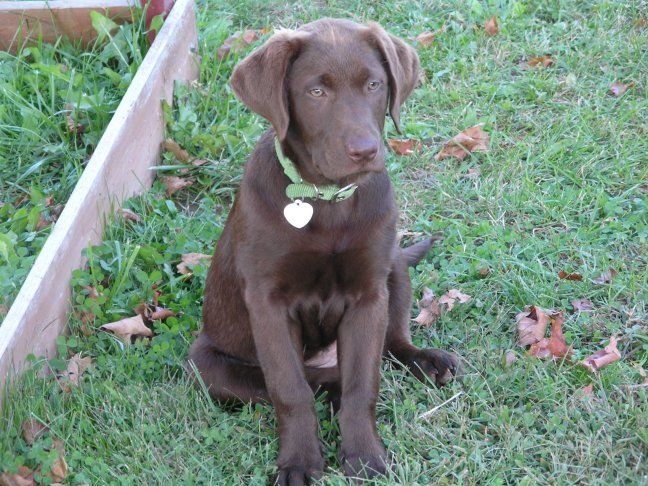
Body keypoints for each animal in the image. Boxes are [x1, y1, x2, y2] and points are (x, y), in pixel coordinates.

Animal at [190, 17, 464, 484]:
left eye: (374, 84)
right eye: (316, 92)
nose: (365, 151)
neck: (326, 198)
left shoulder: (369, 294)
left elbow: (362, 385)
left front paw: (365, 457)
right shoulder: (267, 302)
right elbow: (290, 389)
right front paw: (300, 462)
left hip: (393, 267)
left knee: (390, 344)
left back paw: (425, 361)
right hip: (206, 364)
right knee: (310, 383)